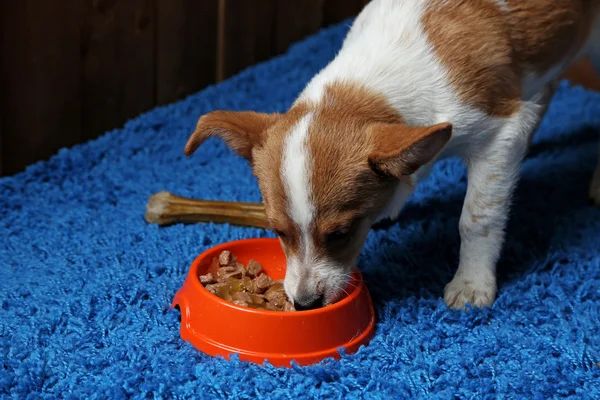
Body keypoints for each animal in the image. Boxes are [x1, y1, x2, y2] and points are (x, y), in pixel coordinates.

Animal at [183, 0, 600, 310]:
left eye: (341, 234)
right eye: (277, 232)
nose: (304, 304)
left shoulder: (500, 133)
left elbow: (476, 217)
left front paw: (471, 282)